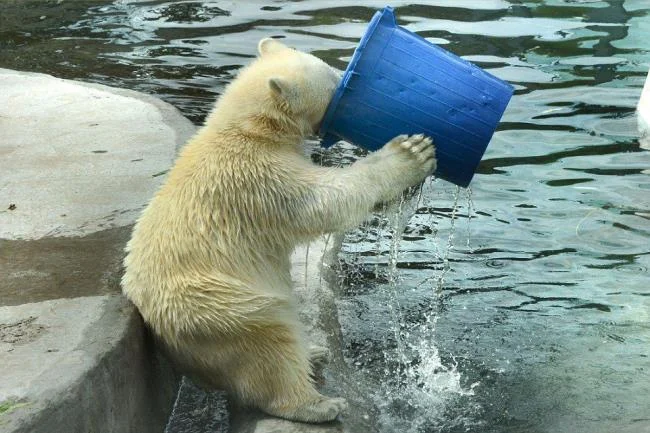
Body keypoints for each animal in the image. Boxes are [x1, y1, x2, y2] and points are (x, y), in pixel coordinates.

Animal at [121, 38, 436, 423]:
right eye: (334, 80)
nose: (346, 77)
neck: (247, 128)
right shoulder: (261, 179)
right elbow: (328, 199)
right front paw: (411, 152)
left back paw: (313, 351)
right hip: (221, 307)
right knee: (270, 344)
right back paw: (319, 403)